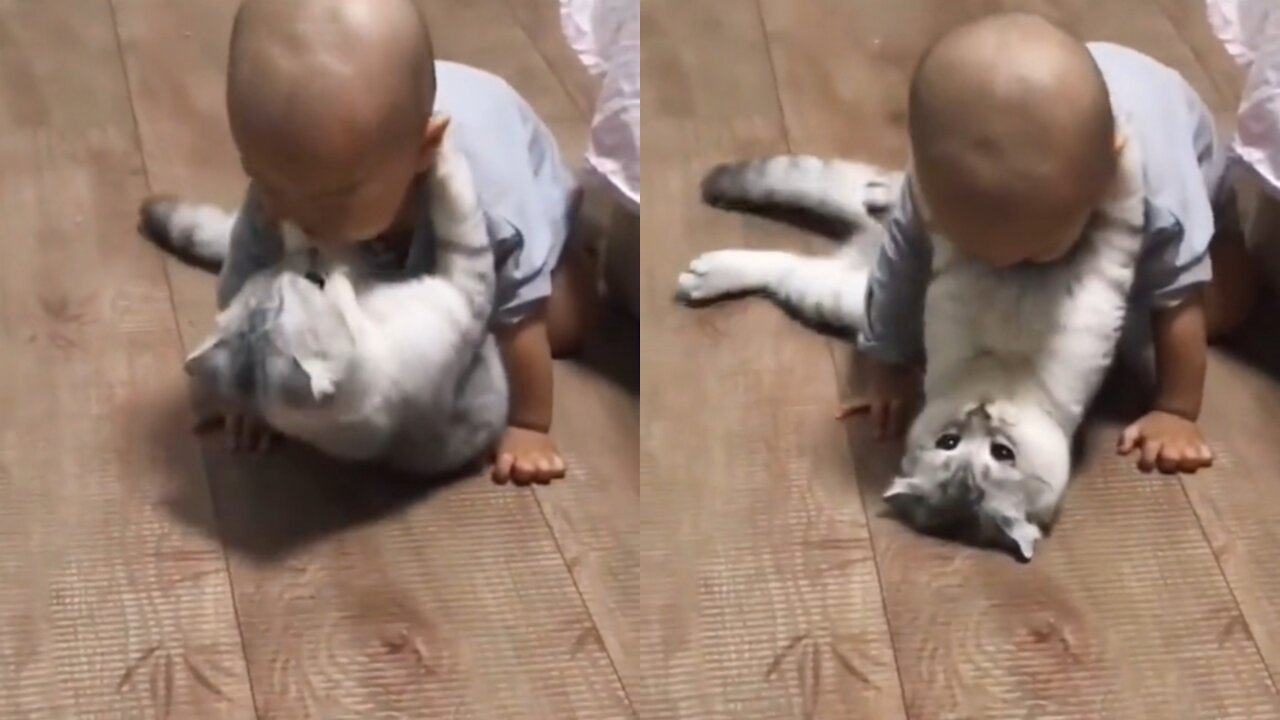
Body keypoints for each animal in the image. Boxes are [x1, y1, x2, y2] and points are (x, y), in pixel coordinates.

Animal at [675, 131, 1146, 558]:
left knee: (791, 267)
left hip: (846, 294)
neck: (1003, 367)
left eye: (1001, 453)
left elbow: (1120, 210)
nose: (980, 412)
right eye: (949, 442)